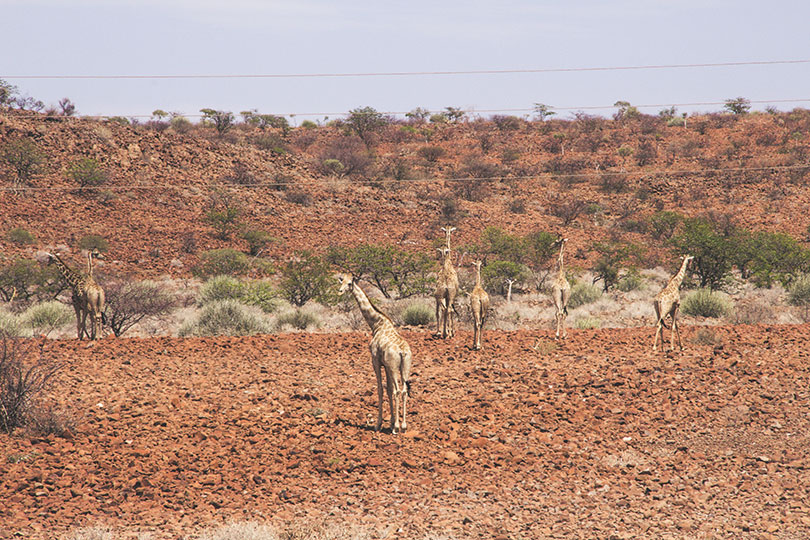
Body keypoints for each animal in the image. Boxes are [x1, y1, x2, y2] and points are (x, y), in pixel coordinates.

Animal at [336, 274, 414, 434]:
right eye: (342, 281)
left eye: (349, 283)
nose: (340, 291)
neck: (376, 324)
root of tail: (402, 352)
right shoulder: (386, 365)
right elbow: (389, 389)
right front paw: (391, 422)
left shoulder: (375, 360)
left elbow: (380, 389)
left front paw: (379, 424)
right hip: (405, 367)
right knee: (403, 390)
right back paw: (403, 426)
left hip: (394, 367)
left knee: (398, 391)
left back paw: (397, 428)